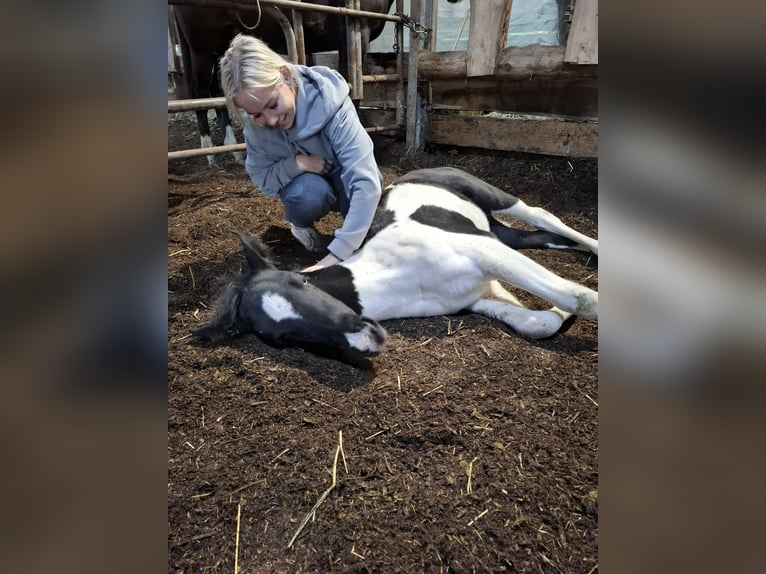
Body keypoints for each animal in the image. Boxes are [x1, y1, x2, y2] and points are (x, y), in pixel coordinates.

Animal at [172, 1, 396, 166]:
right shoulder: (358, 33)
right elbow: (351, 90)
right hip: (202, 49)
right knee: (199, 92)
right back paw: (209, 152)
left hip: (221, 50)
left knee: (217, 92)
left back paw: (233, 151)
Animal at [194, 166, 600, 366]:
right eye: (282, 338)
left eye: (301, 282)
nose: (366, 336)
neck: (397, 275)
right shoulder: (477, 291)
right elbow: (539, 323)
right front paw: (559, 313)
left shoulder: (482, 251)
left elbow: (582, 298)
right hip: (496, 231)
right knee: (541, 236)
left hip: (491, 197)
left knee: (542, 215)